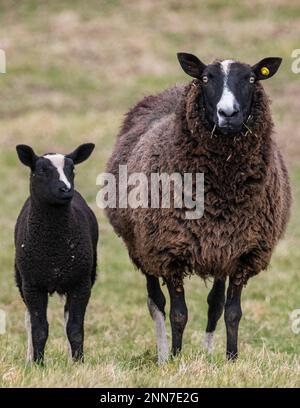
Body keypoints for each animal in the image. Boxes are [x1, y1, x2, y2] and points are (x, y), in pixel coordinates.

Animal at [105, 54, 290, 364]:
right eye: (205, 78)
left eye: (252, 78)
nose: (228, 113)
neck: (222, 188)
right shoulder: (169, 251)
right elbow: (178, 314)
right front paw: (176, 358)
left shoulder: (243, 253)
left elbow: (232, 313)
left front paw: (231, 358)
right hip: (141, 246)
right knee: (156, 303)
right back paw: (163, 355)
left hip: (219, 251)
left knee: (214, 304)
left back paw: (207, 351)